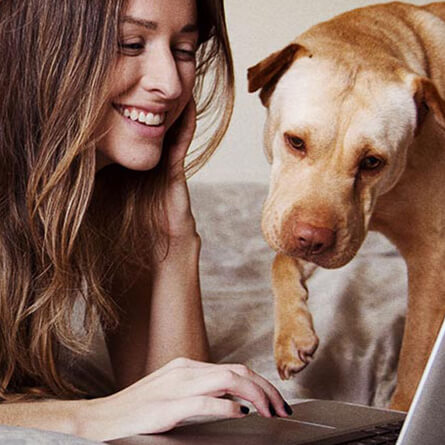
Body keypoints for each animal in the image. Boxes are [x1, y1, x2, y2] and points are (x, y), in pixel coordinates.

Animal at [246, 0, 444, 412]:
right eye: (295, 142)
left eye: (372, 162)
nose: (312, 239)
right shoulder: (315, 226)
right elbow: (280, 259)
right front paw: (292, 334)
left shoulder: (432, 258)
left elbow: (415, 360)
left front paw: (402, 411)